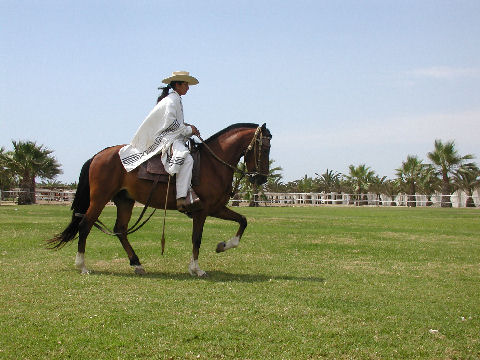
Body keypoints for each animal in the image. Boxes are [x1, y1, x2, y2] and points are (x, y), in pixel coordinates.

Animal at [47, 122, 272, 278]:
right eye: (265, 148)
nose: (261, 178)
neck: (213, 164)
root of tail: (98, 155)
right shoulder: (201, 211)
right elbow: (196, 238)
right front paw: (196, 269)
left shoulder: (215, 208)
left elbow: (243, 220)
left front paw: (223, 246)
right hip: (100, 199)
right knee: (85, 225)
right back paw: (82, 266)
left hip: (125, 201)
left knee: (120, 229)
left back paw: (137, 263)